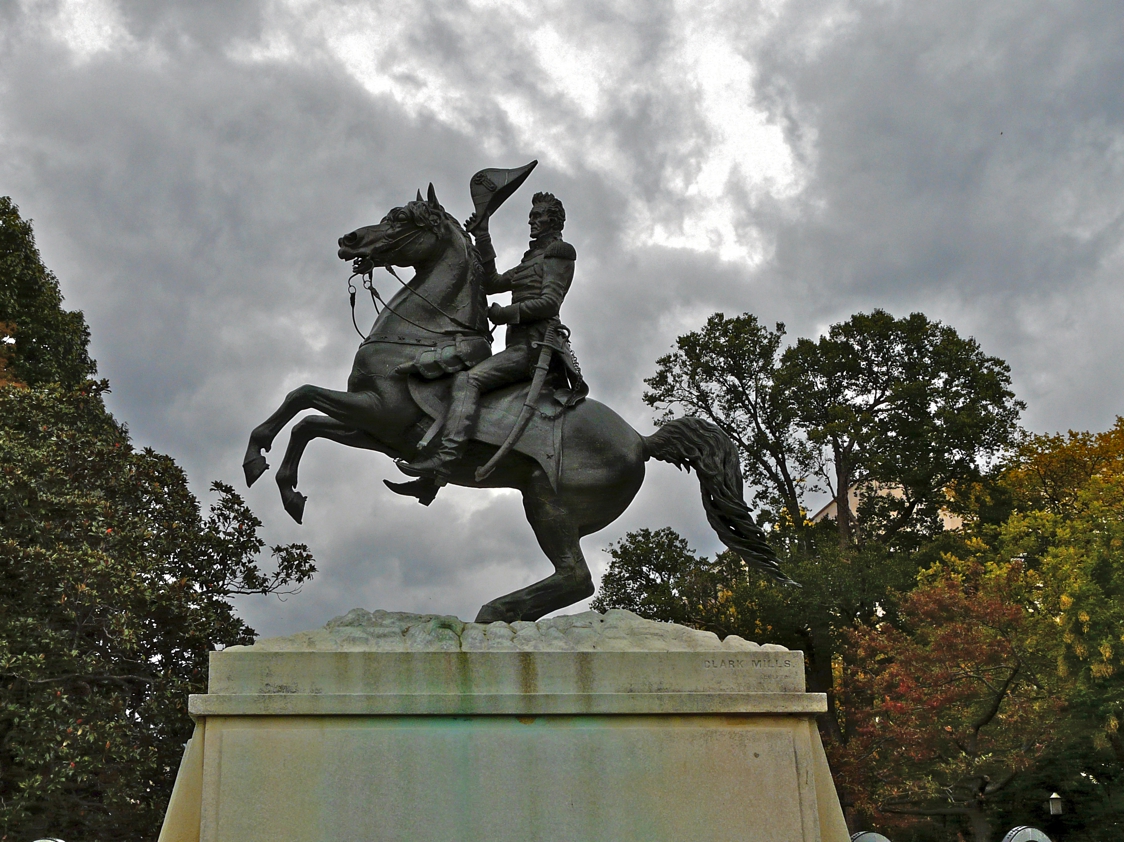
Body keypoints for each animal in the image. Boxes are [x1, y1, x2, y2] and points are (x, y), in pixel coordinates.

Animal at [245, 185, 791, 616]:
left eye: (400, 218)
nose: (349, 240)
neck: (420, 337)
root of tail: (640, 440)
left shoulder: (379, 412)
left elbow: (301, 397)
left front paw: (258, 460)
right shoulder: (374, 431)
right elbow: (306, 421)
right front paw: (287, 489)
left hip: (548, 503)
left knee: (576, 578)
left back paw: (495, 612)